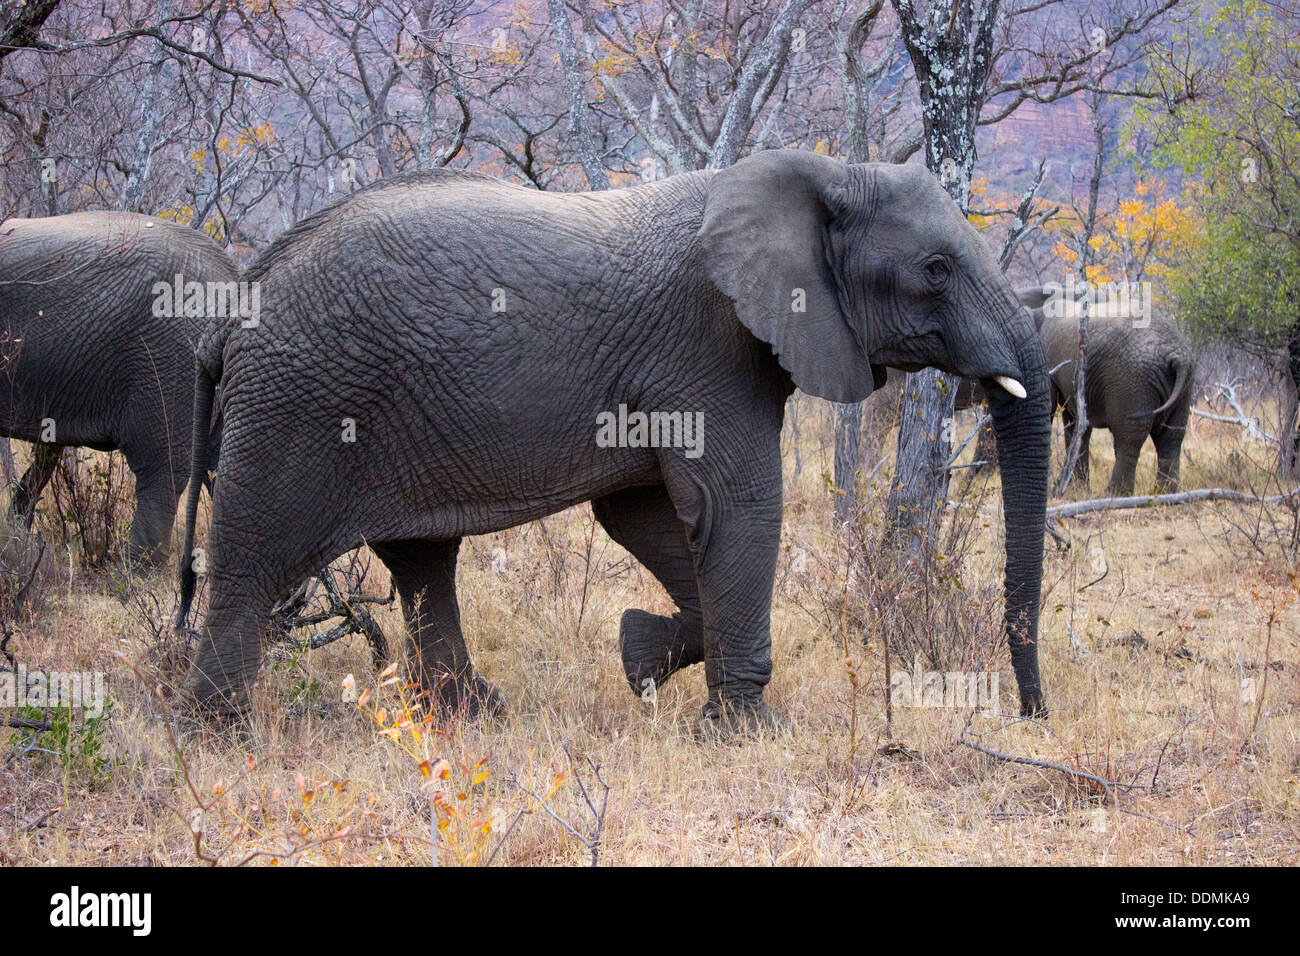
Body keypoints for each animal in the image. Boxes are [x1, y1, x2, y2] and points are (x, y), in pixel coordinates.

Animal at [178, 149, 1050, 733]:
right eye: (936, 269)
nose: (1031, 716)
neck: (822, 170)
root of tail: (233, 310)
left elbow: (646, 516)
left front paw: (640, 657)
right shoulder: (707, 344)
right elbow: (735, 507)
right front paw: (749, 733)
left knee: (422, 560)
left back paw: (477, 717)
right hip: (299, 404)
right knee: (256, 558)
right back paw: (221, 733)